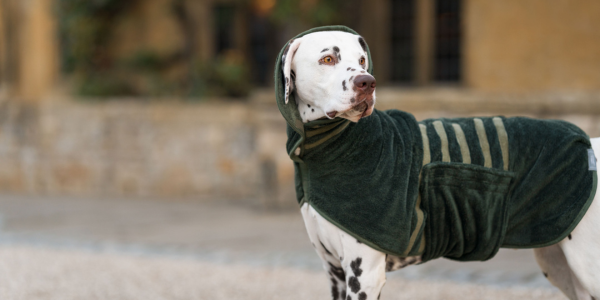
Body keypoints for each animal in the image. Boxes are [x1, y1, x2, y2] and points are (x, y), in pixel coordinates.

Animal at [278, 29, 600, 300]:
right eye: (327, 59)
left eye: (361, 60)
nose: (366, 82)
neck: (334, 146)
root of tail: (589, 142)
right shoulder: (335, 273)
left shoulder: (364, 275)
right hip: (559, 266)